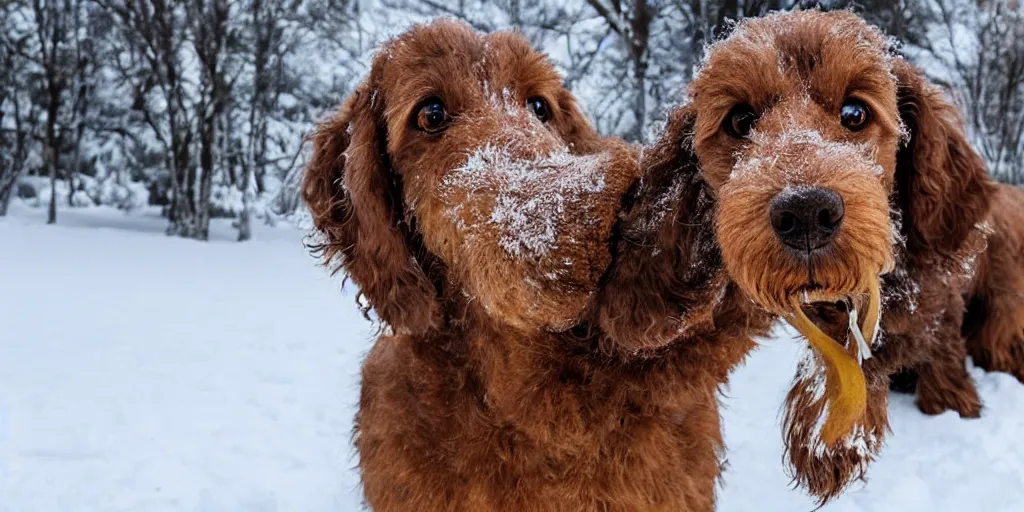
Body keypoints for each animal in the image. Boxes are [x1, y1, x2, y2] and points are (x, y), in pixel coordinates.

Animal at [659, 9, 1003, 505]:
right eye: (741, 120)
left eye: (854, 113)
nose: (804, 213)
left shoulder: (941, 310)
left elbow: (943, 360)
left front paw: (951, 407)